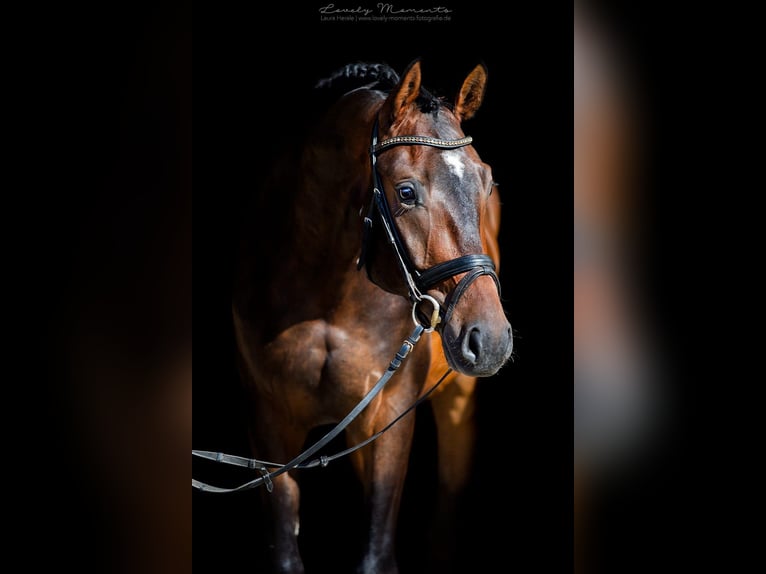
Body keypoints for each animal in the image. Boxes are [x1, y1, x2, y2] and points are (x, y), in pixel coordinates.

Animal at [229, 59, 513, 574]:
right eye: (406, 191)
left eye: (486, 182)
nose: (492, 339)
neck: (327, 296)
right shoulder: (267, 422)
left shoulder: (389, 417)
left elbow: (377, 553)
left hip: (455, 401)